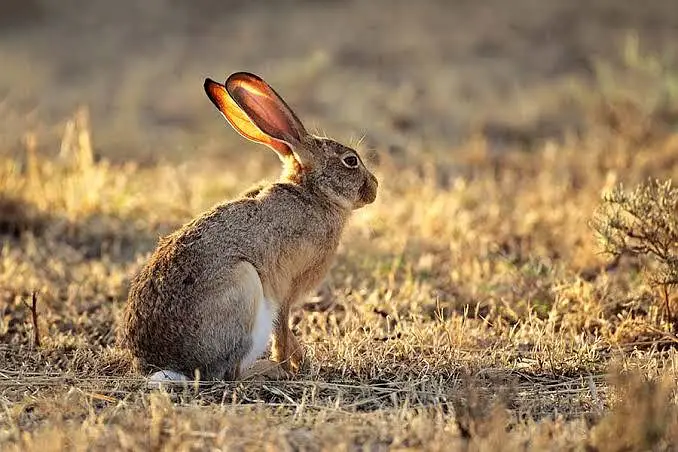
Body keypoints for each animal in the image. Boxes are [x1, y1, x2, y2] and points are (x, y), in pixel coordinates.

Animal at [118, 71, 378, 382]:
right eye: (351, 161)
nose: (375, 188)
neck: (312, 193)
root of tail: (168, 366)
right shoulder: (285, 289)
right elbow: (282, 327)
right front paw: (291, 364)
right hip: (244, 285)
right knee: (230, 371)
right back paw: (267, 370)